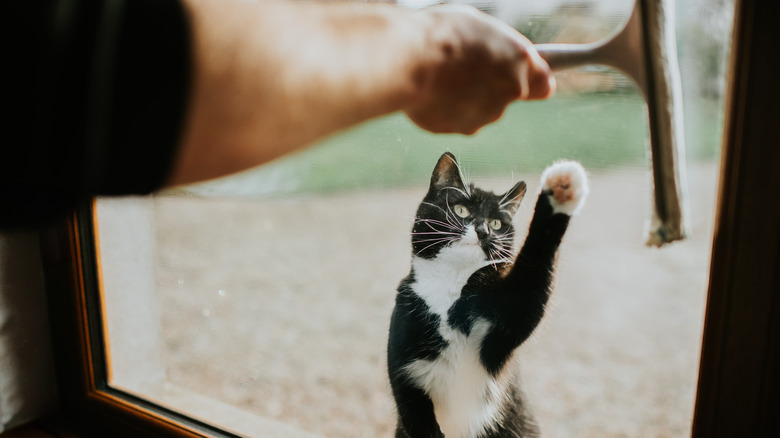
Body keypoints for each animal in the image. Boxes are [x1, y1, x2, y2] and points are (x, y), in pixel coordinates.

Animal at [386, 152, 588, 436]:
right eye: (461, 210)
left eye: (496, 223)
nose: (484, 230)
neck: (450, 288)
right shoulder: (405, 363)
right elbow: (415, 415)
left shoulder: (503, 321)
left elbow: (531, 283)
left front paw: (560, 190)